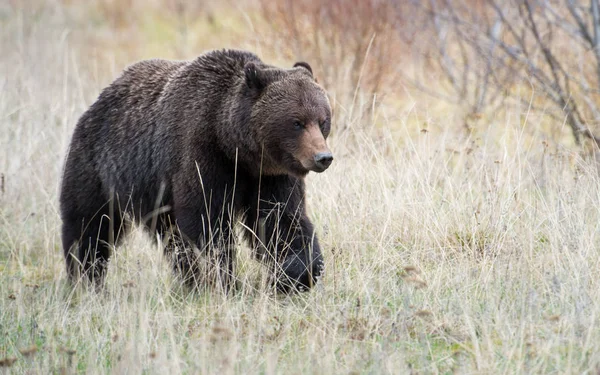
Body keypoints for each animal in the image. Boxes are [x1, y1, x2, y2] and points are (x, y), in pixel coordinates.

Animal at [59, 48, 332, 294]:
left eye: (322, 120)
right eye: (297, 122)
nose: (323, 157)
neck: (235, 147)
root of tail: (100, 97)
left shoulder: (270, 176)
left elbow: (280, 219)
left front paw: (294, 274)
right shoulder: (201, 155)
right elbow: (206, 222)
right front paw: (226, 280)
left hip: (153, 195)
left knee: (169, 238)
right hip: (100, 167)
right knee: (89, 225)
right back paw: (85, 278)